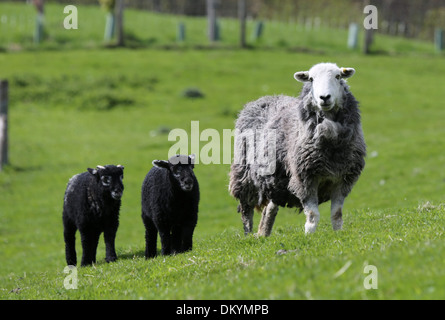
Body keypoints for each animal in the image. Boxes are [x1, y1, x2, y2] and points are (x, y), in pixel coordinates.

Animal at [229, 62, 364, 235]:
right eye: (311, 79)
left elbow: (337, 214)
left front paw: (338, 234)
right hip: (244, 176)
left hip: (275, 181)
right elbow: (313, 215)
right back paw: (248, 235)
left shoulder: (343, 179)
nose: (324, 97)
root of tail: (265, 98)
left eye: (338, 76)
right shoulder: (305, 177)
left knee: (269, 210)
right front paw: (309, 236)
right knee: (246, 212)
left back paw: (263, 234)